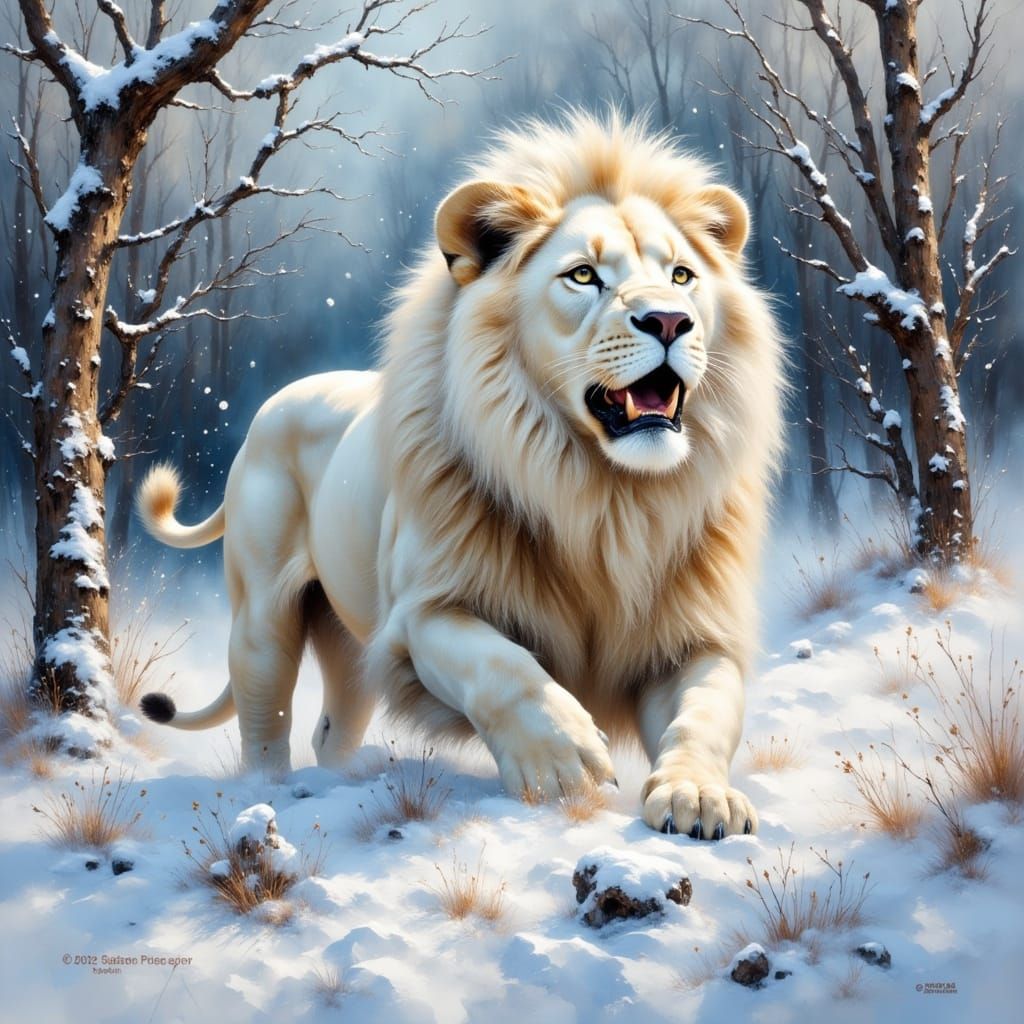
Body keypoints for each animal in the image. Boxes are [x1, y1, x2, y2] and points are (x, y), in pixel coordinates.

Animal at [138, 113, 784, 839]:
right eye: (583, 275)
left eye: (681, 275)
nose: (671, 320)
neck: (602, 496)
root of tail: (270, 409)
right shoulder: (422, 615)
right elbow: (505, 666)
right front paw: (565, 763)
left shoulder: (692, 634)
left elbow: (707, 712)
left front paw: (699, 796)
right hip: (263, 620)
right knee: (265, 721)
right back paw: (267, 794)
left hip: (345, 644)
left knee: (331, 730)